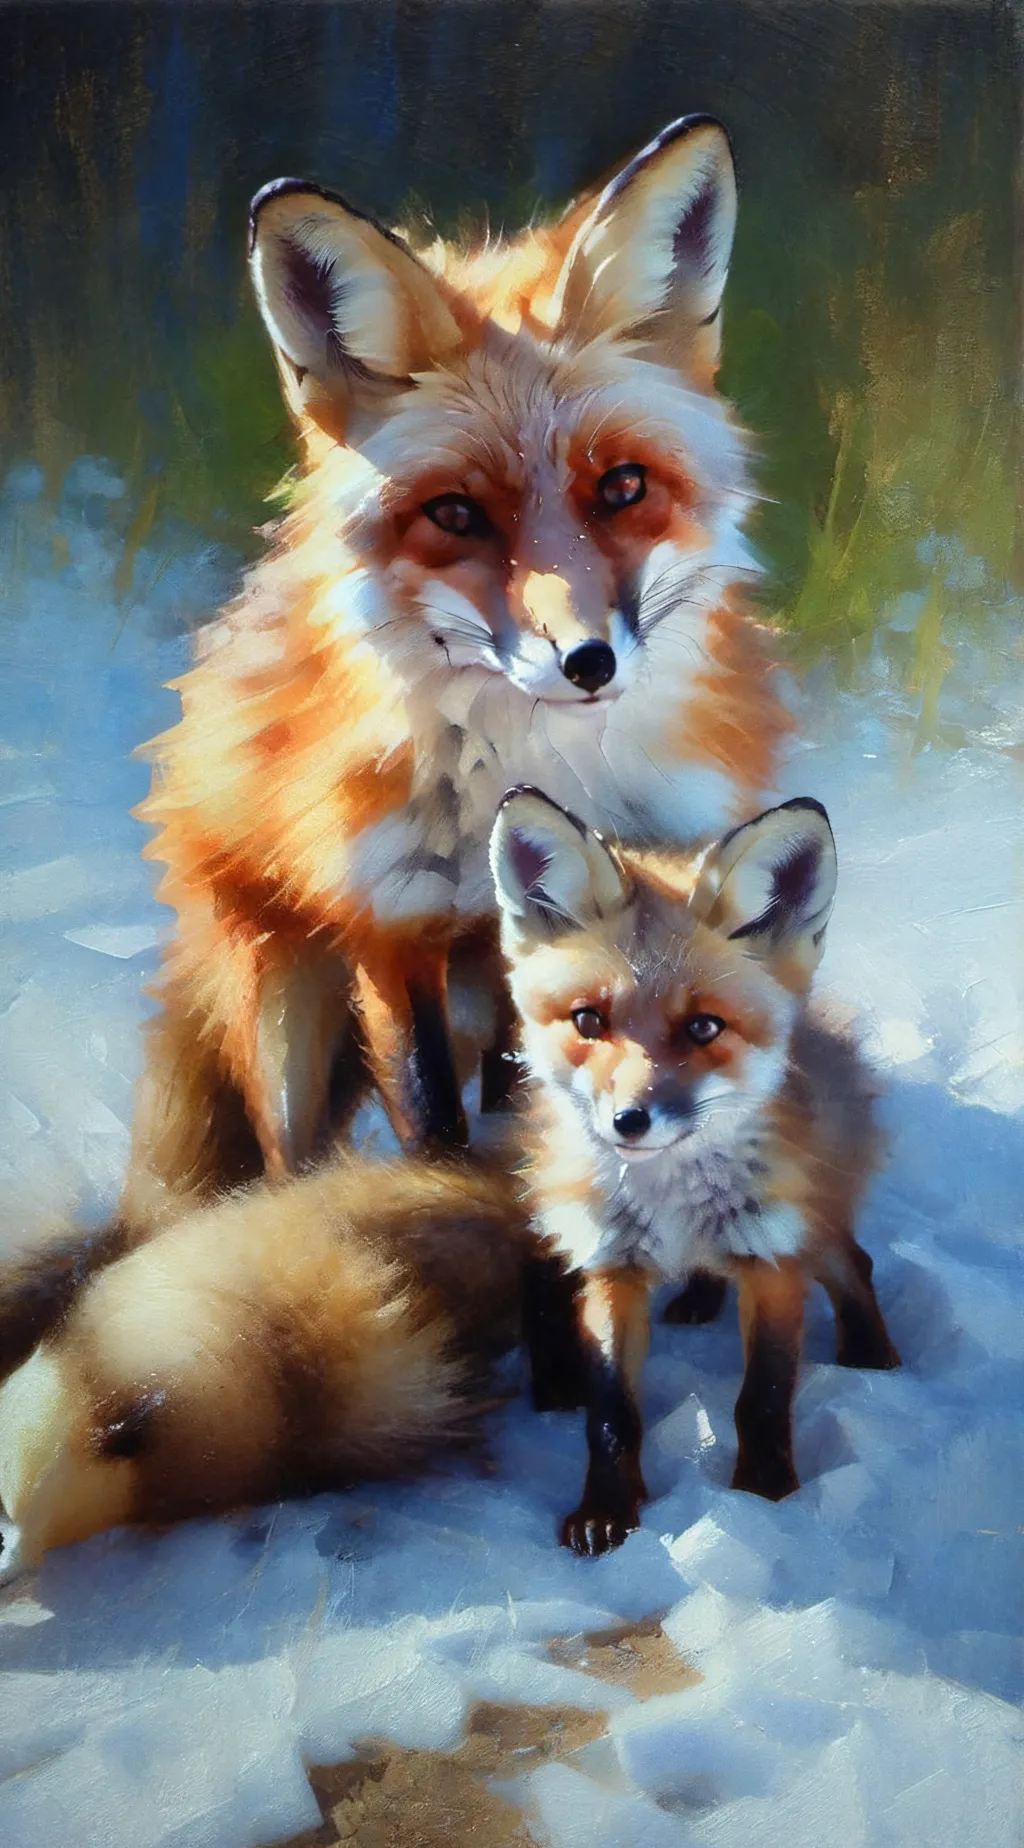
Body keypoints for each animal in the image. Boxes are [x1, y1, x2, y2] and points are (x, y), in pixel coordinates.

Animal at [123, 113, 792, 1229]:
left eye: (622, 487)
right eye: (455, 514)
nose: (587, 660)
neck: (535, 775)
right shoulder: (391, 925)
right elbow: (433, 1121)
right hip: (286, 1007)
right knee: (284, 1160)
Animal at [489, 786, 901, 1556]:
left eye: (704, 1028)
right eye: (588, 1021)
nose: (629, 1121)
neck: (671, 1204)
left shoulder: (774, 1261)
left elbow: (762, 1399)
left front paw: (765, 1499)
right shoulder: (611, 1268)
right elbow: (611, 1415)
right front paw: (608, 1511)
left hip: (812, 1223)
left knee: (854, 1263)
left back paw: (874, 1356)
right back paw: (700, 1295)